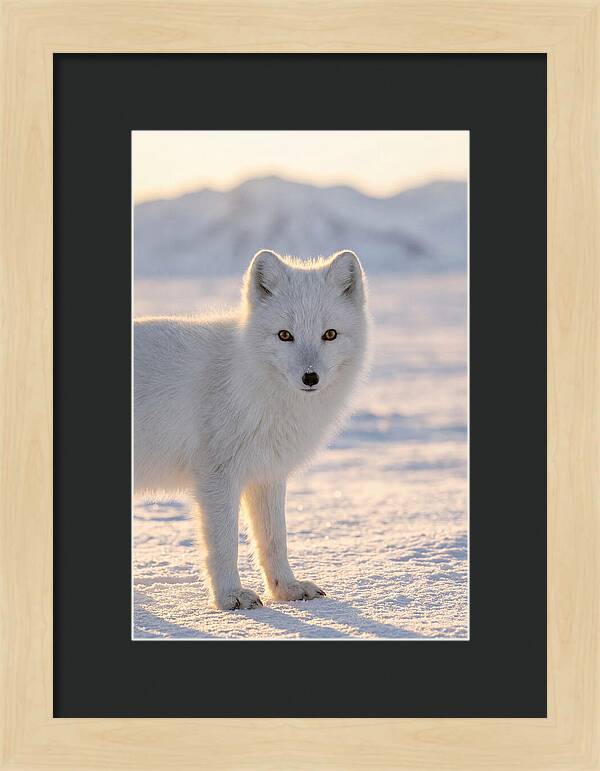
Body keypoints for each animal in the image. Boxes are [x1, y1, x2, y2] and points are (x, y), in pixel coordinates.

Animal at [134, 249, 370, 610]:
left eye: (329, 334)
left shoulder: (267, 473)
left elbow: (274, 539)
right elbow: (224, 545)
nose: (310, 377)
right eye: (285, 335)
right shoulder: (217, 476)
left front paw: (286, 590)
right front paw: (230, 597)